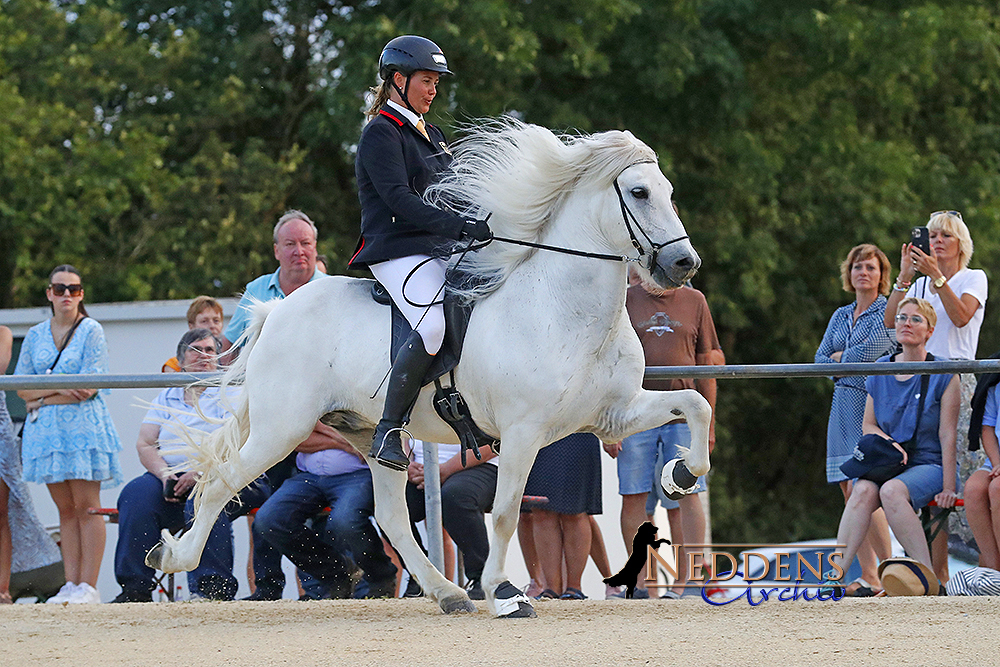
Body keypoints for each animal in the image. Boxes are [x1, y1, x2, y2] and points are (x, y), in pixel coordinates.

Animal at [146, 120, 712, 620]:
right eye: (639, 192)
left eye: (669, 191)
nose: (684, 264)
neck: (562, 308)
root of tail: (277, 311)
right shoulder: (523, 431)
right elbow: (504, 511)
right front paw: (505, 593)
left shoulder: (612, 416)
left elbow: (696, 404)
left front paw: (680, 474)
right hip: (281, 428)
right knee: (223, 481)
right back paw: (173, 556)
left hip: (369, 436)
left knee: (392, 516)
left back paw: (449, 594)